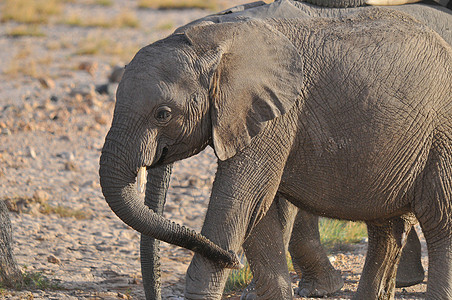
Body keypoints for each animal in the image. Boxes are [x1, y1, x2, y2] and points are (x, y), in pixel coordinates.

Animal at [100, 5, 452, 300]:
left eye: (163, 114)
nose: (231, 260)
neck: (214, 39)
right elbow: (260, 211)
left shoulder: (276, 117)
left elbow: (240, 200)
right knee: (385, 227)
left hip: (441, 137)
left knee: (440, 220)